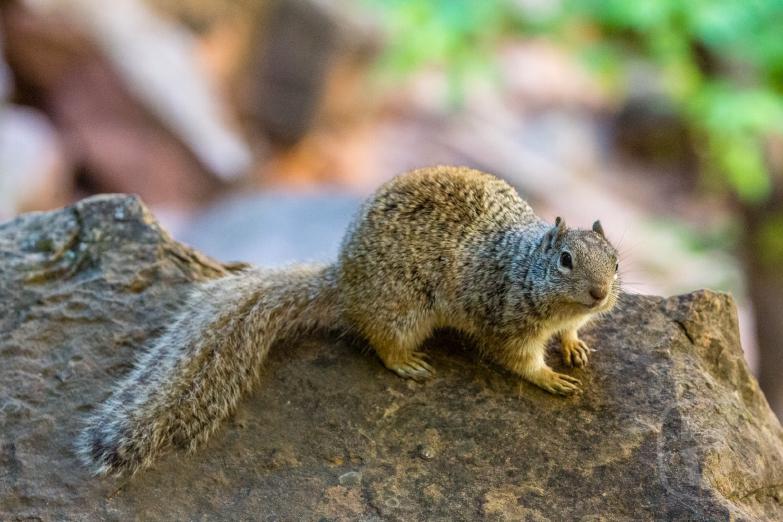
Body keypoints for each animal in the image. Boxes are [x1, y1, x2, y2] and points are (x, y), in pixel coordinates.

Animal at [77, 166, 621, 476]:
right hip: (403, 308)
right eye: (565, 260)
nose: (601, 293)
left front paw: (573, 346)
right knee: (380, 338)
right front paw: (550, 377)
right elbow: (518, 361)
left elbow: (569, 333)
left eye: (616, 261)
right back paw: (405, 363)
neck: (525, 267)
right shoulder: (505, 320)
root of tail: (342, 282)